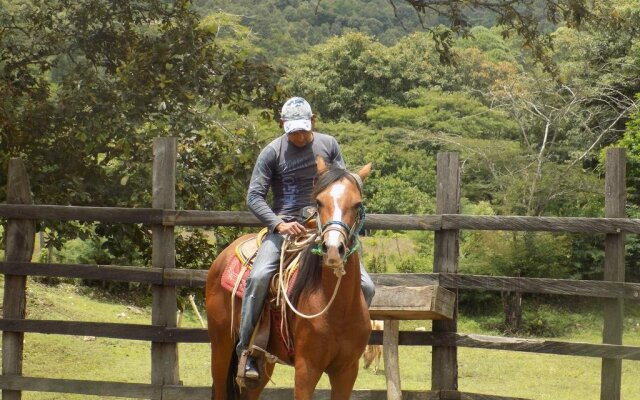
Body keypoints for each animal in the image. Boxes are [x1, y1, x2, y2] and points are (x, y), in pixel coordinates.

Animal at [205, 158, 372, 398]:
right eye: (319, 202)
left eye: (357, 204)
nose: (333, 249)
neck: (337, 308)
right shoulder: (306, 369)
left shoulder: (347, 370)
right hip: (221, 346)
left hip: (263, 363)